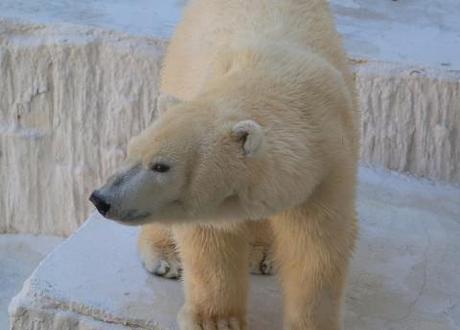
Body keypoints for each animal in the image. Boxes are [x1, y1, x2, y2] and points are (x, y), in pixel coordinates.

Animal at [90, 1, 360, 328]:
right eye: (131, 151)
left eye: (161, 166)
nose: (101, 198)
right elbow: (211, 238)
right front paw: (215, 320)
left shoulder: (329, 166)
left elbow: (317, 247)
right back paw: (165, 256)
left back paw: (262, 253)